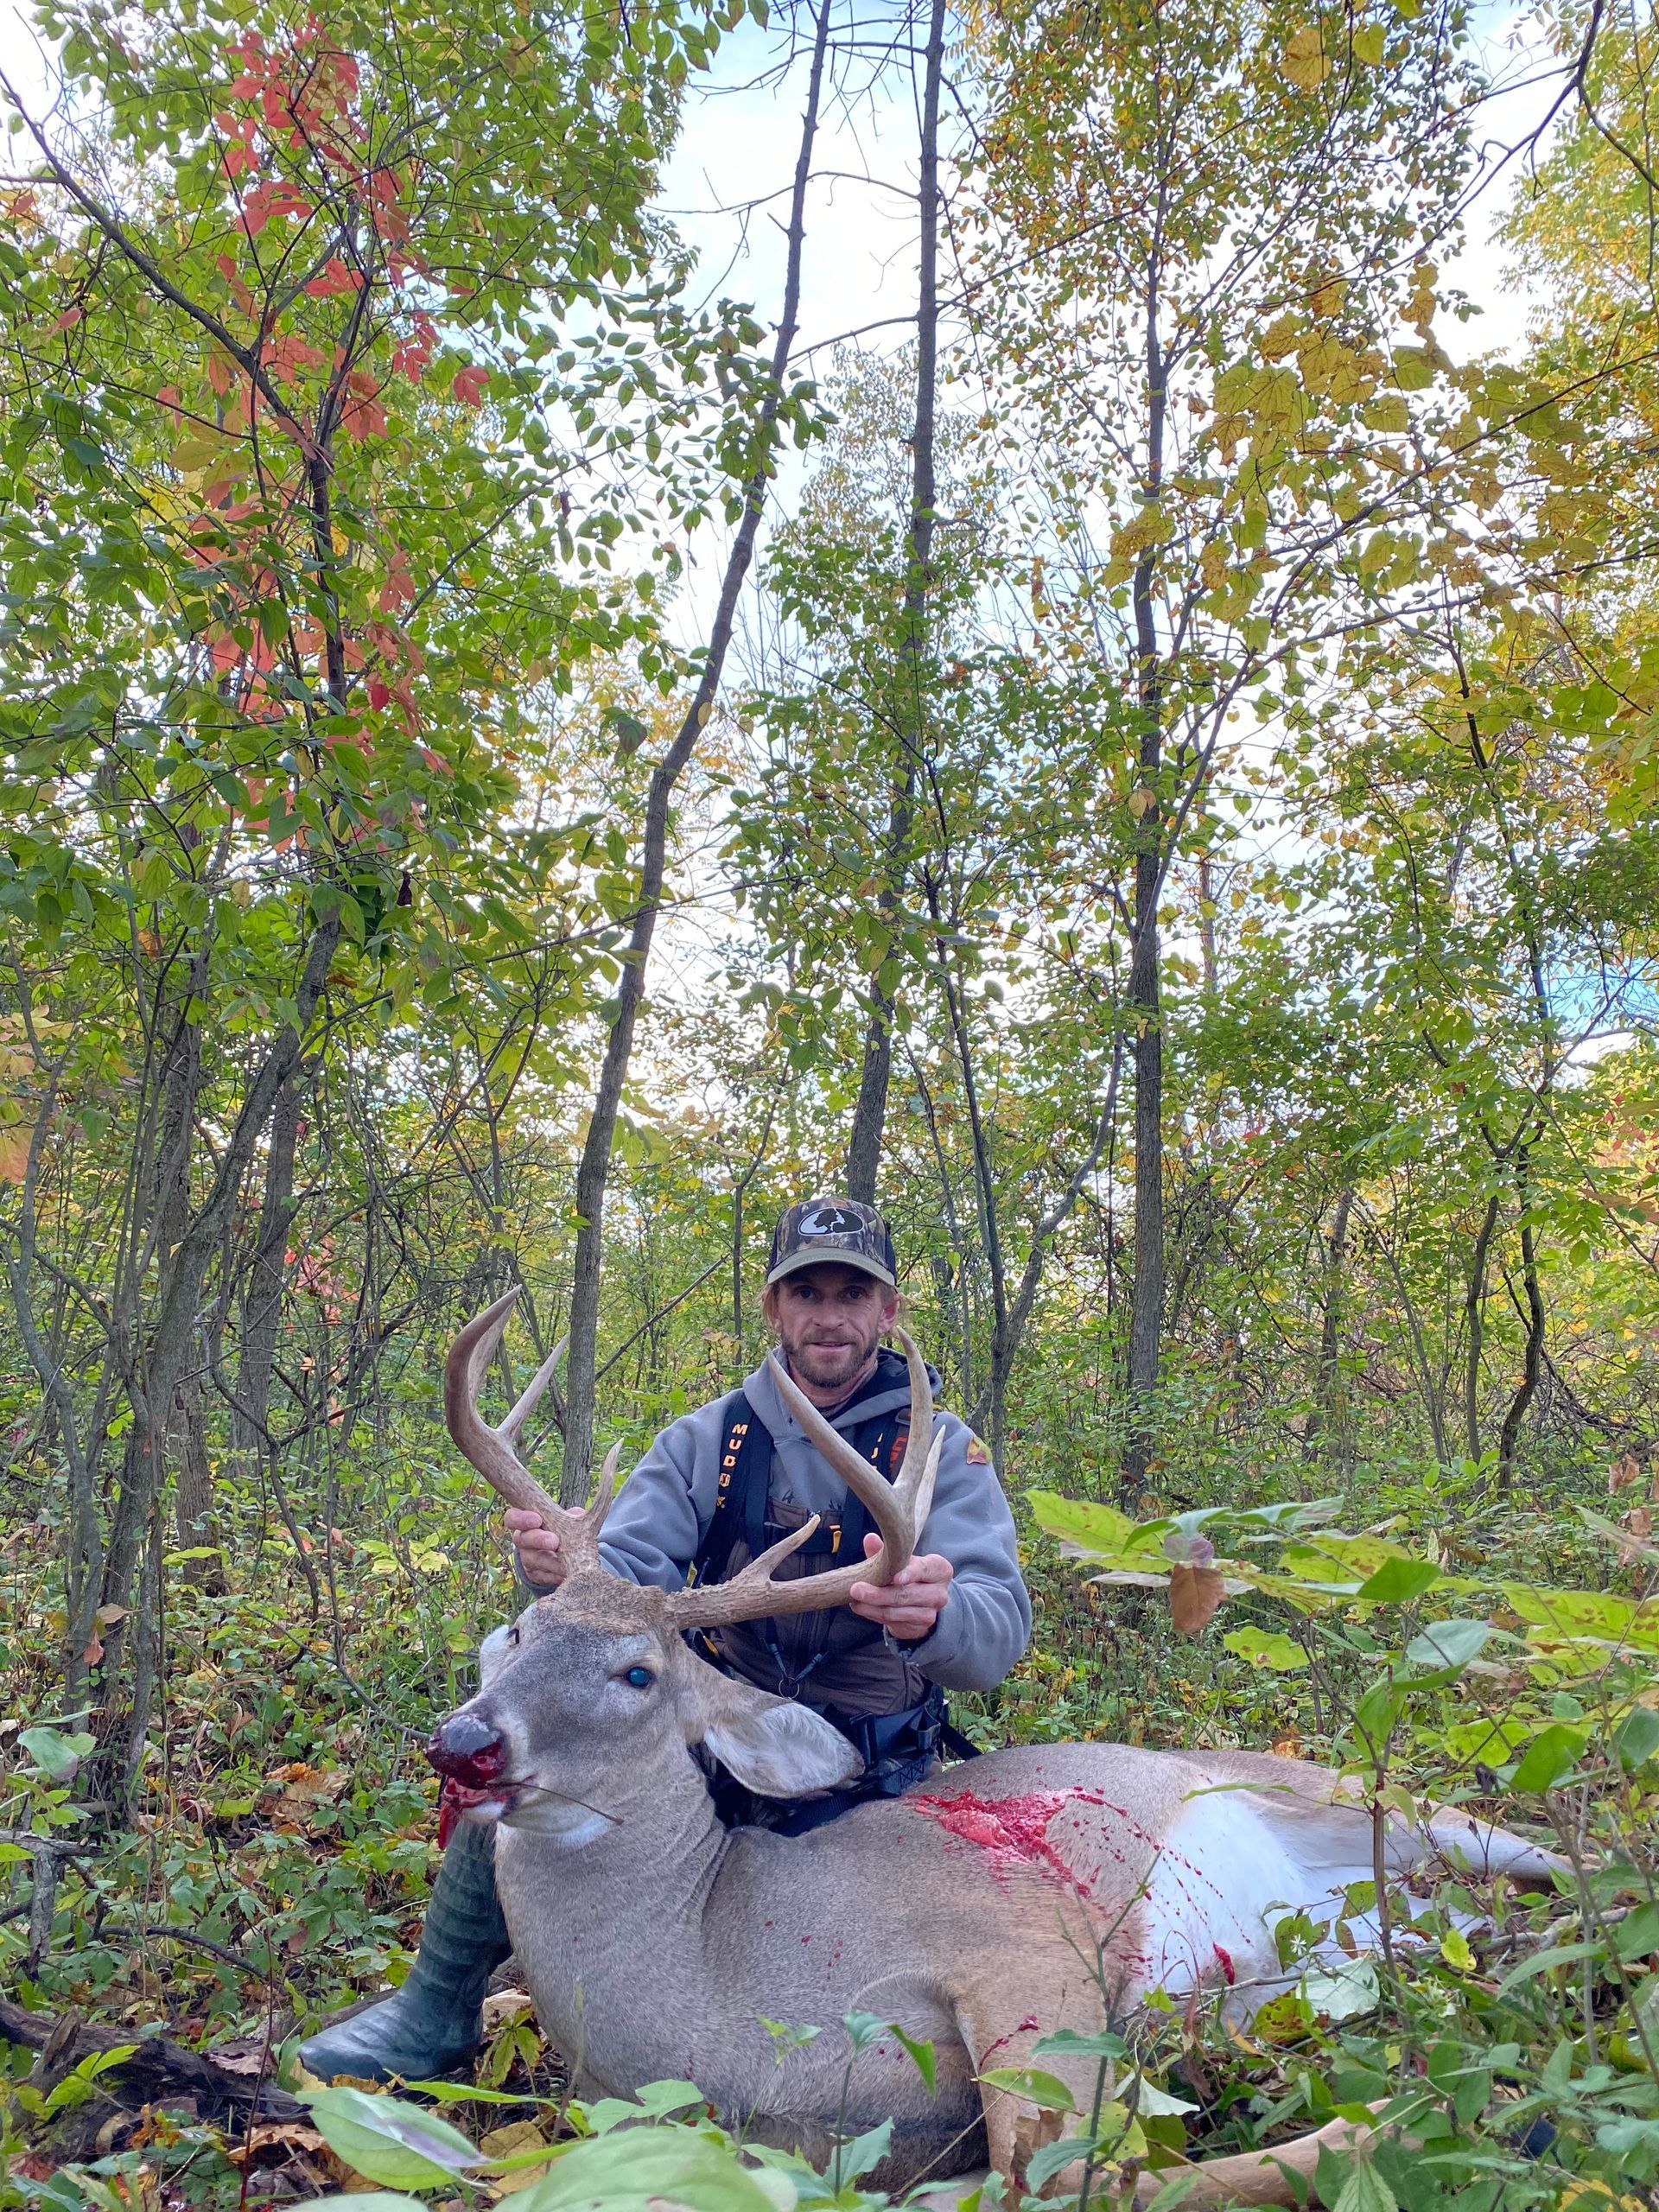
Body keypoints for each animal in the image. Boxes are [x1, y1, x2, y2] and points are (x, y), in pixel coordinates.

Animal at [424, 1291, 1559, 2203]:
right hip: (1361, 1927)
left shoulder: (1021, 1944)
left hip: (1366, 1797)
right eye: (520, 1633)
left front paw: (1383, 2124)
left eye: (638, 1674)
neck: (719, 1964)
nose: (463, 1740)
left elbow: (1078, 2180)